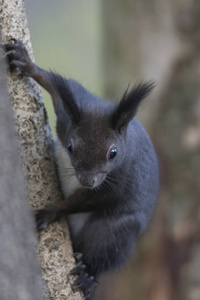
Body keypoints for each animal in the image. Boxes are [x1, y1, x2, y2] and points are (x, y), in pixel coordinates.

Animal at [3, 39, 159, 300]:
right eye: (70, 147)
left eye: (113, 153)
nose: (87, 181)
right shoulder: (67, 117)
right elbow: (57, 89)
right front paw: (25, 61)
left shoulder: (120, 181)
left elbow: (86, 200)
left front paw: (50, 211)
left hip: (114, 231)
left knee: (103, 252)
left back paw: (89, 278)